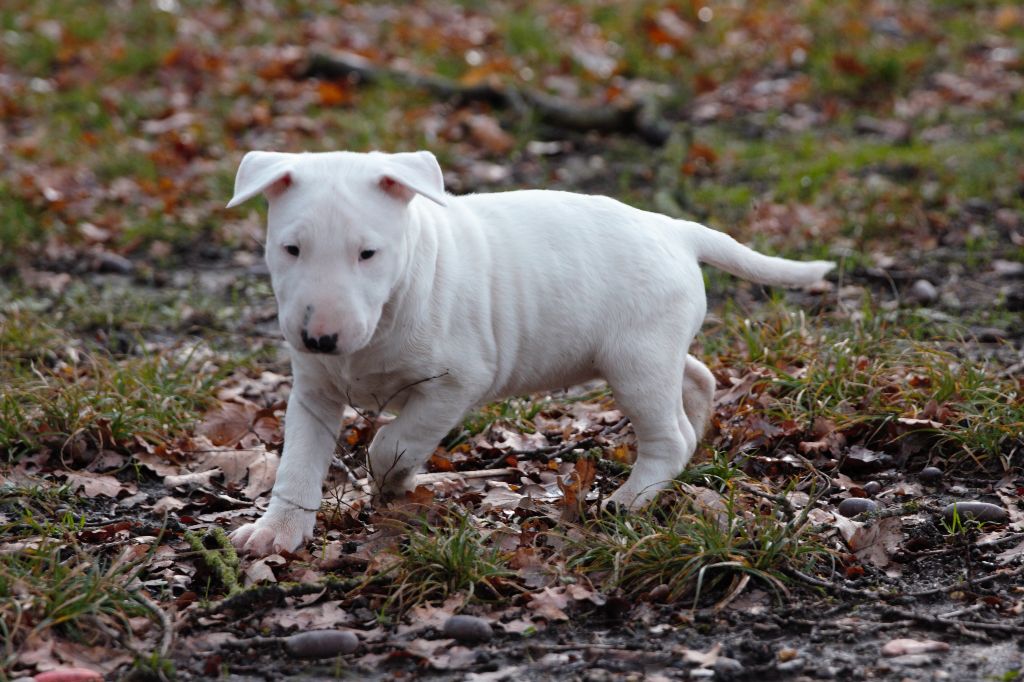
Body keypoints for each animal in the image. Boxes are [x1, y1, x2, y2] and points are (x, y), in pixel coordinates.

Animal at [226, 148, 831, 552]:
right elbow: (298, 464)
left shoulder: (455, 384)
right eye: (291, 249)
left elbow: (396, 441)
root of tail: (677, 231)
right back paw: (698, 435)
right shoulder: (314, 393)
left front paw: (391, 480)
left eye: (368, 253)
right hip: (651, 350)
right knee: (698, 378)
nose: (320, 338)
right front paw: (276, 534)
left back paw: (631, 499)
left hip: (635, 362)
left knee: (669, 435)